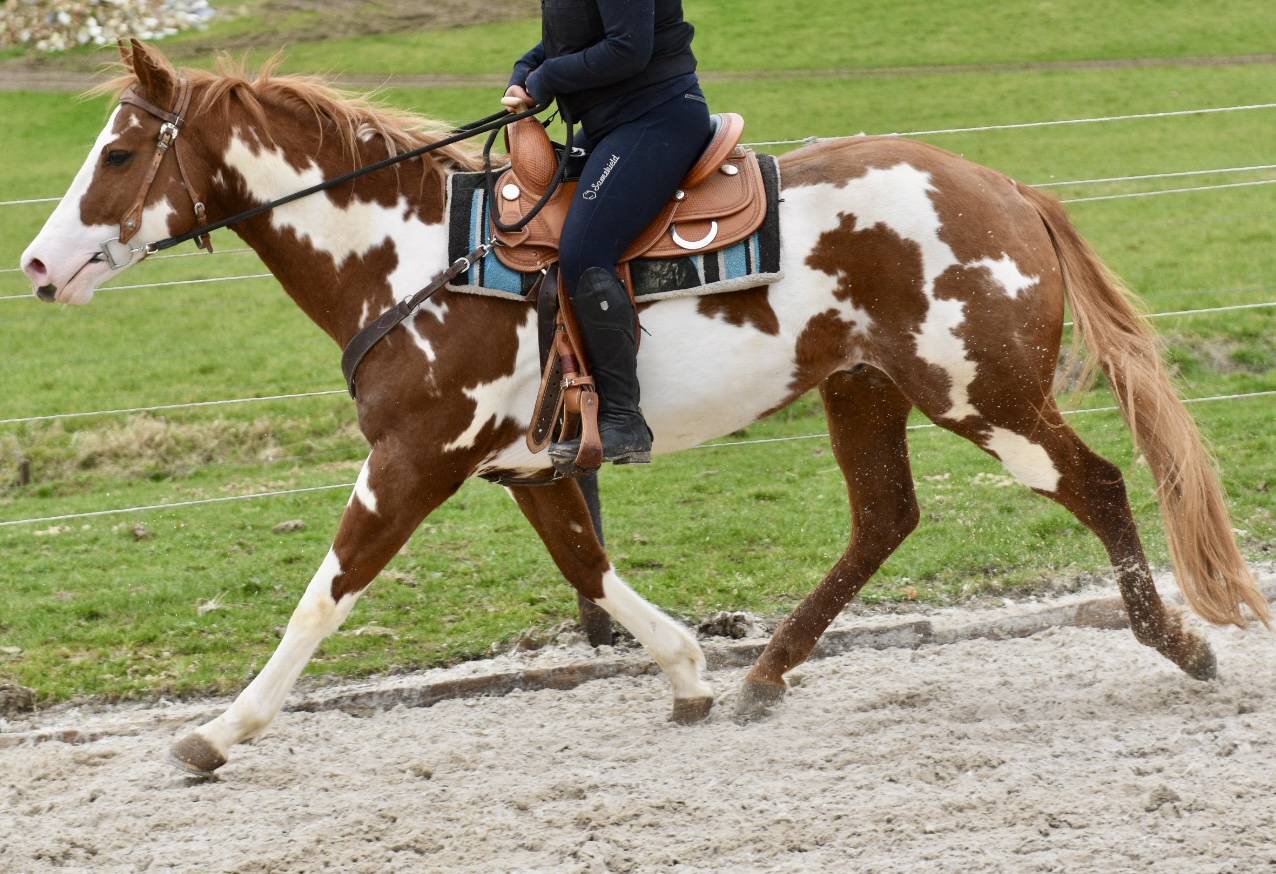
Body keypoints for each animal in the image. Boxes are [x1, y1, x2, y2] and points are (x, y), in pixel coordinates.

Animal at [19, 40, 1268, 776]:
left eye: (119, 153)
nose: (36, 265)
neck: (417, 254)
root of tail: (1006, 188)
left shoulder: (414, 458)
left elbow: (326, 594)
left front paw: (218, 730)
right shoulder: (526, 464)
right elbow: (590, 569)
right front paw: (686, 671)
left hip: (982, 392)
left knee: (1094, 482)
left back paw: (1177, 642)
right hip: (866, 391)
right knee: (882, 519)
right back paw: (763, 676)